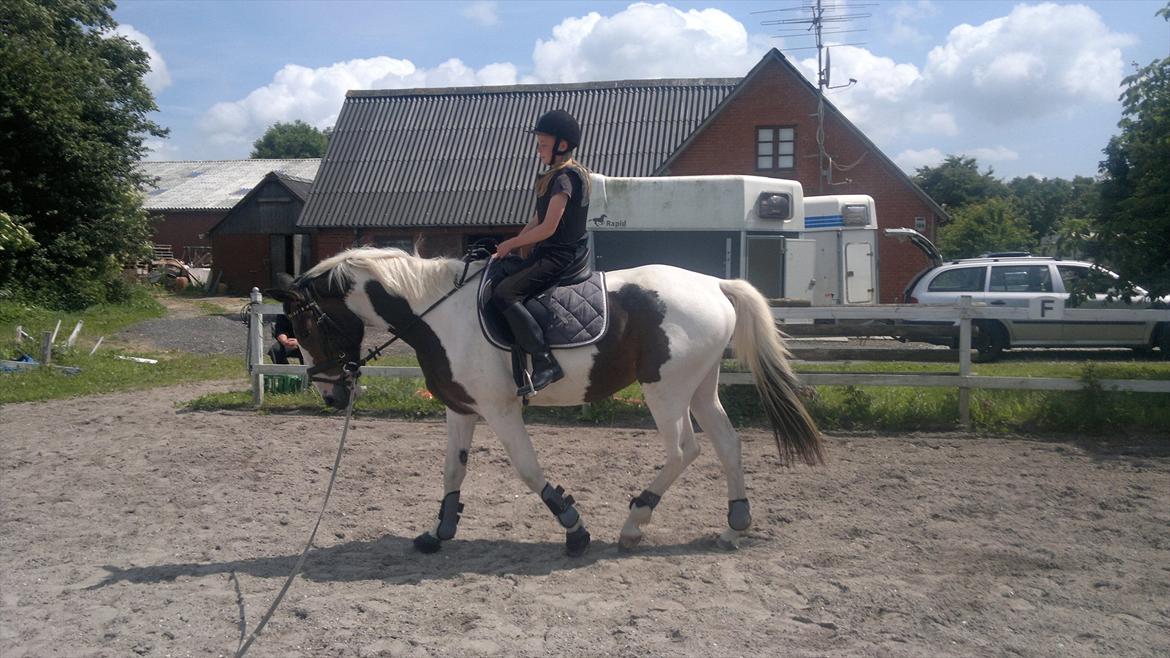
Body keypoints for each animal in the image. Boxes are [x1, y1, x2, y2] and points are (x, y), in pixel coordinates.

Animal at [270, 245, 823, 552]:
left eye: (305, 326)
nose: (330, 393)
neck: (438, 314)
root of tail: (714, 284)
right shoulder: (461, 409)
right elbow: (453, 470)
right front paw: (439, 533)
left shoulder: (500, 410)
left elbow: (529, 470)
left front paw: (574, 529)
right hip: (700, 388)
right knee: (728, 444)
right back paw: (734, 527)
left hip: (665, 391)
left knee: (684, 450)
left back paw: (634, 523)